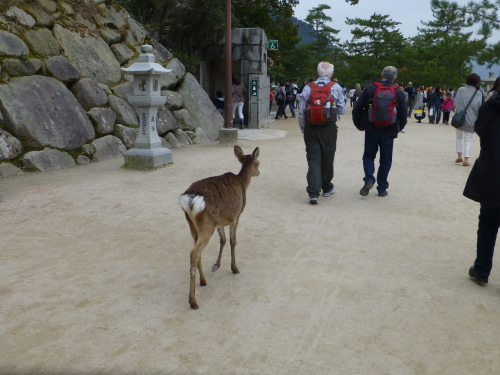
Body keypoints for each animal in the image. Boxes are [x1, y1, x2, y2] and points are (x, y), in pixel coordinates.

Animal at [178, 145, 260, 310]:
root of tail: (189, 199)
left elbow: (222, 240)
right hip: (207, 224)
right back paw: (193, 301)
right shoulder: (237, 215)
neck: (243, 183)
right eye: (258, 163)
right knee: (194, 253)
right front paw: (234, 268)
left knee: (197, 252)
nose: (259, 172)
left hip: (194, 225)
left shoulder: (221, 221)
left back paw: (203, 281)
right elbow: (233, 240)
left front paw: (216, 265)